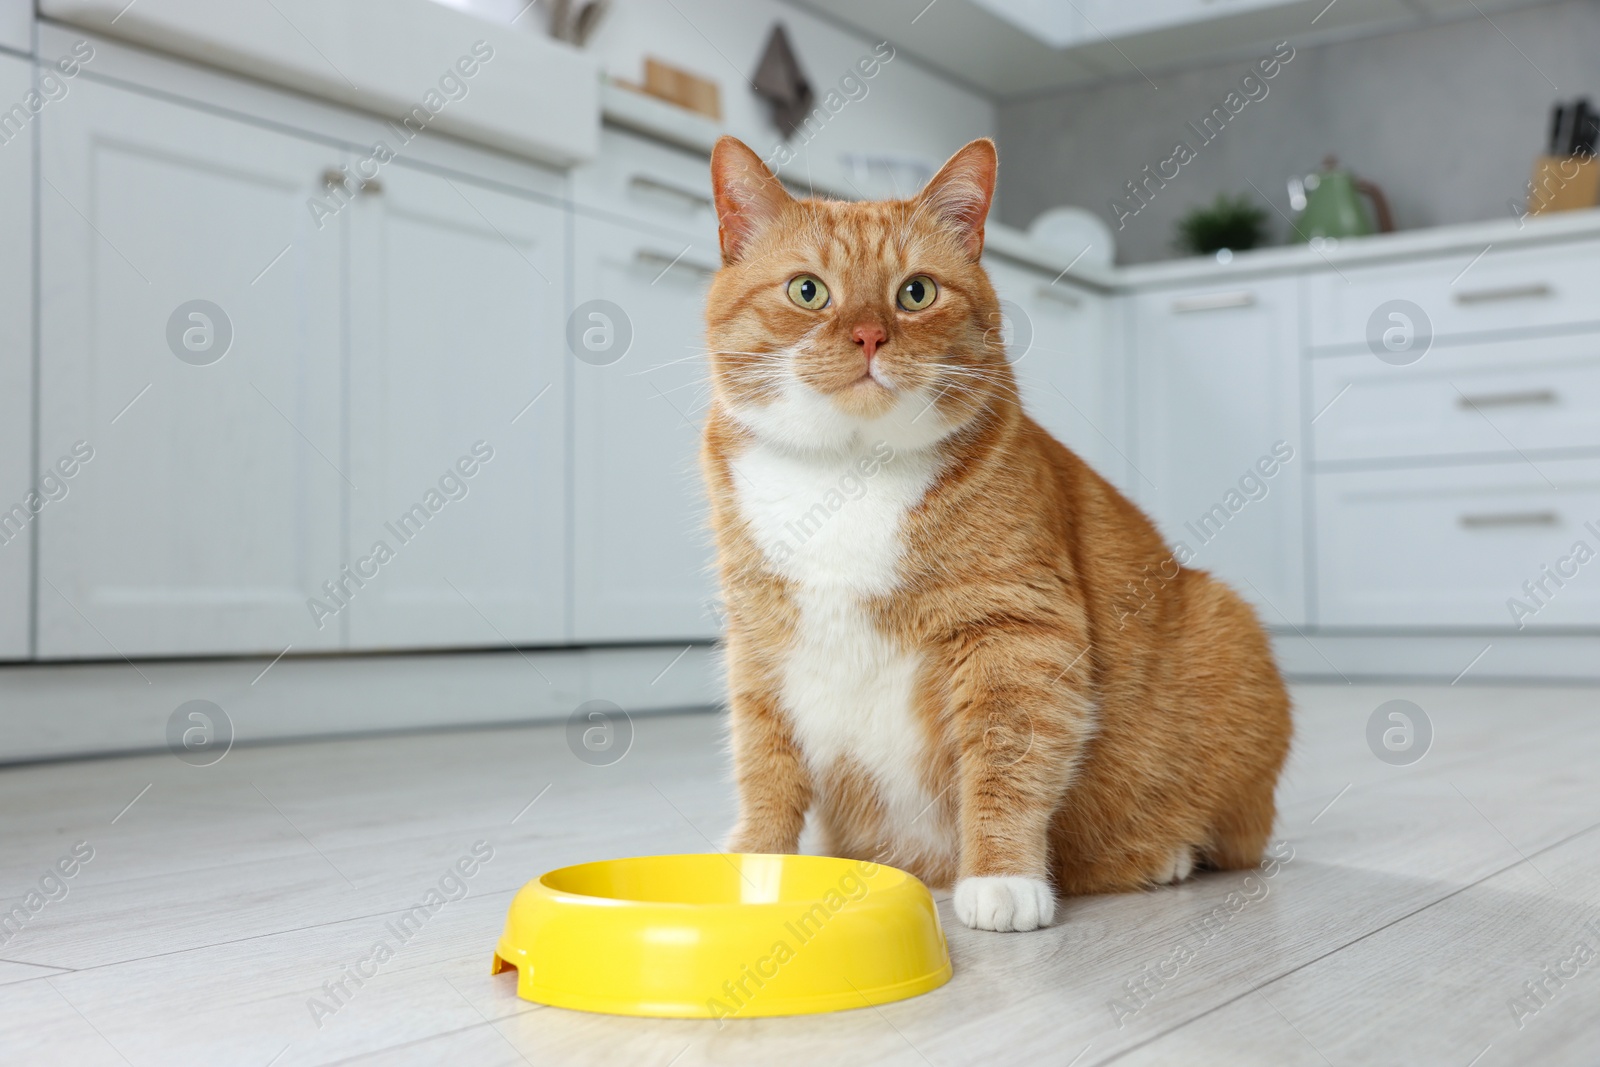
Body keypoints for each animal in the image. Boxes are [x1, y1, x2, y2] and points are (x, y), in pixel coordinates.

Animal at [697, 137, 1286, 927]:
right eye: (807, 291)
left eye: (916, 292)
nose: (868, 334)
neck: (848, 474)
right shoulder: (759, 641)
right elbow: (764, 764)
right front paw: (755, 869)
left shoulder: (1017, 630)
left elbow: (1008, 758)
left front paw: (1002, 876)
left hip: (1228, 628)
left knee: (1226, 838)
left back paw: (1166, 856)